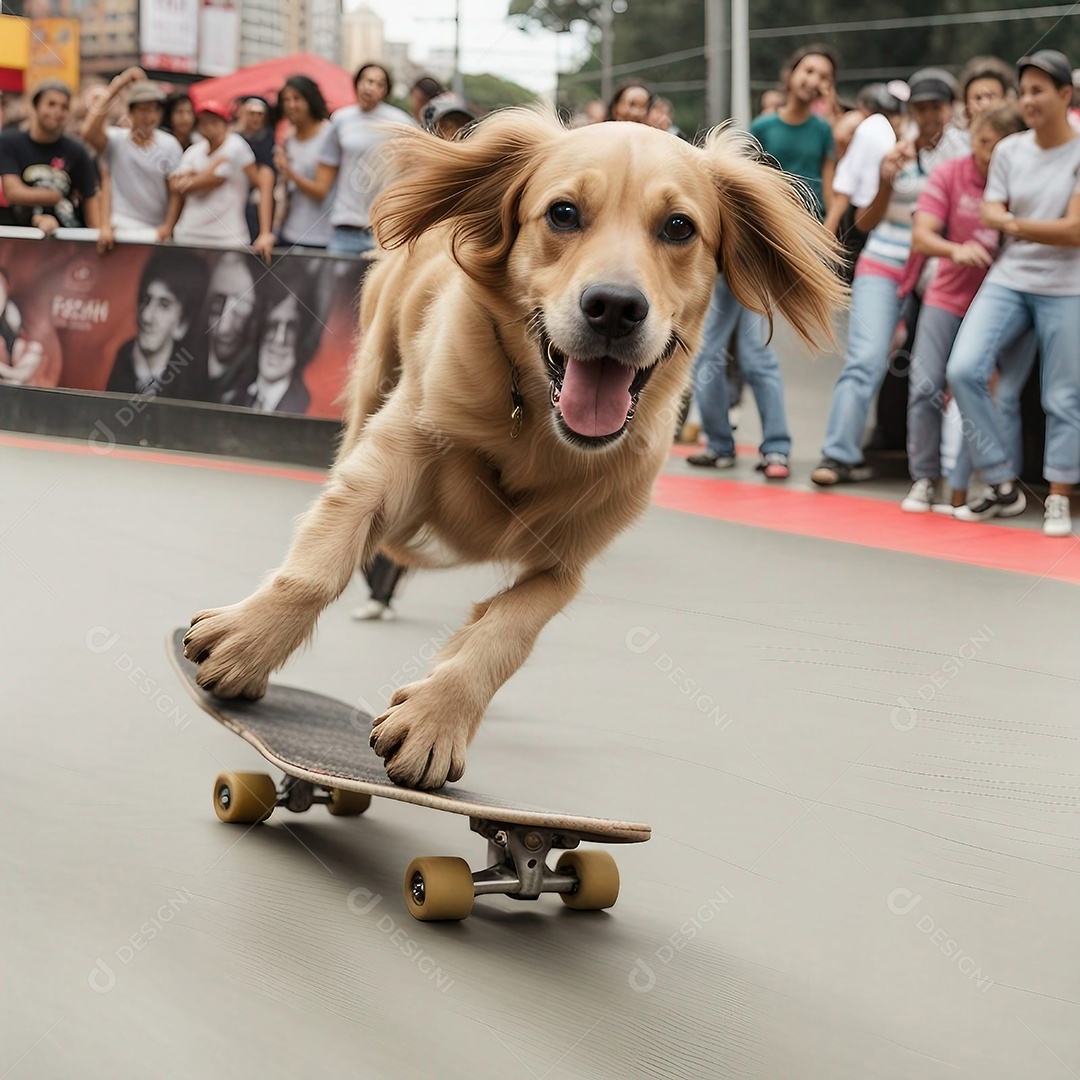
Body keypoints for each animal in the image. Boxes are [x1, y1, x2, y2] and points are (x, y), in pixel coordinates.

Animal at [183, 107, 842, 786]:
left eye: (679, 226)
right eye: (563, 213)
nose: (614, 307)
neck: (535, 425)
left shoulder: (566, 561)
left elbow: (506, 631)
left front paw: (435, 721)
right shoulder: (393, 452)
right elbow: (319, 563)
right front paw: (249, 643)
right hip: (372, 384)